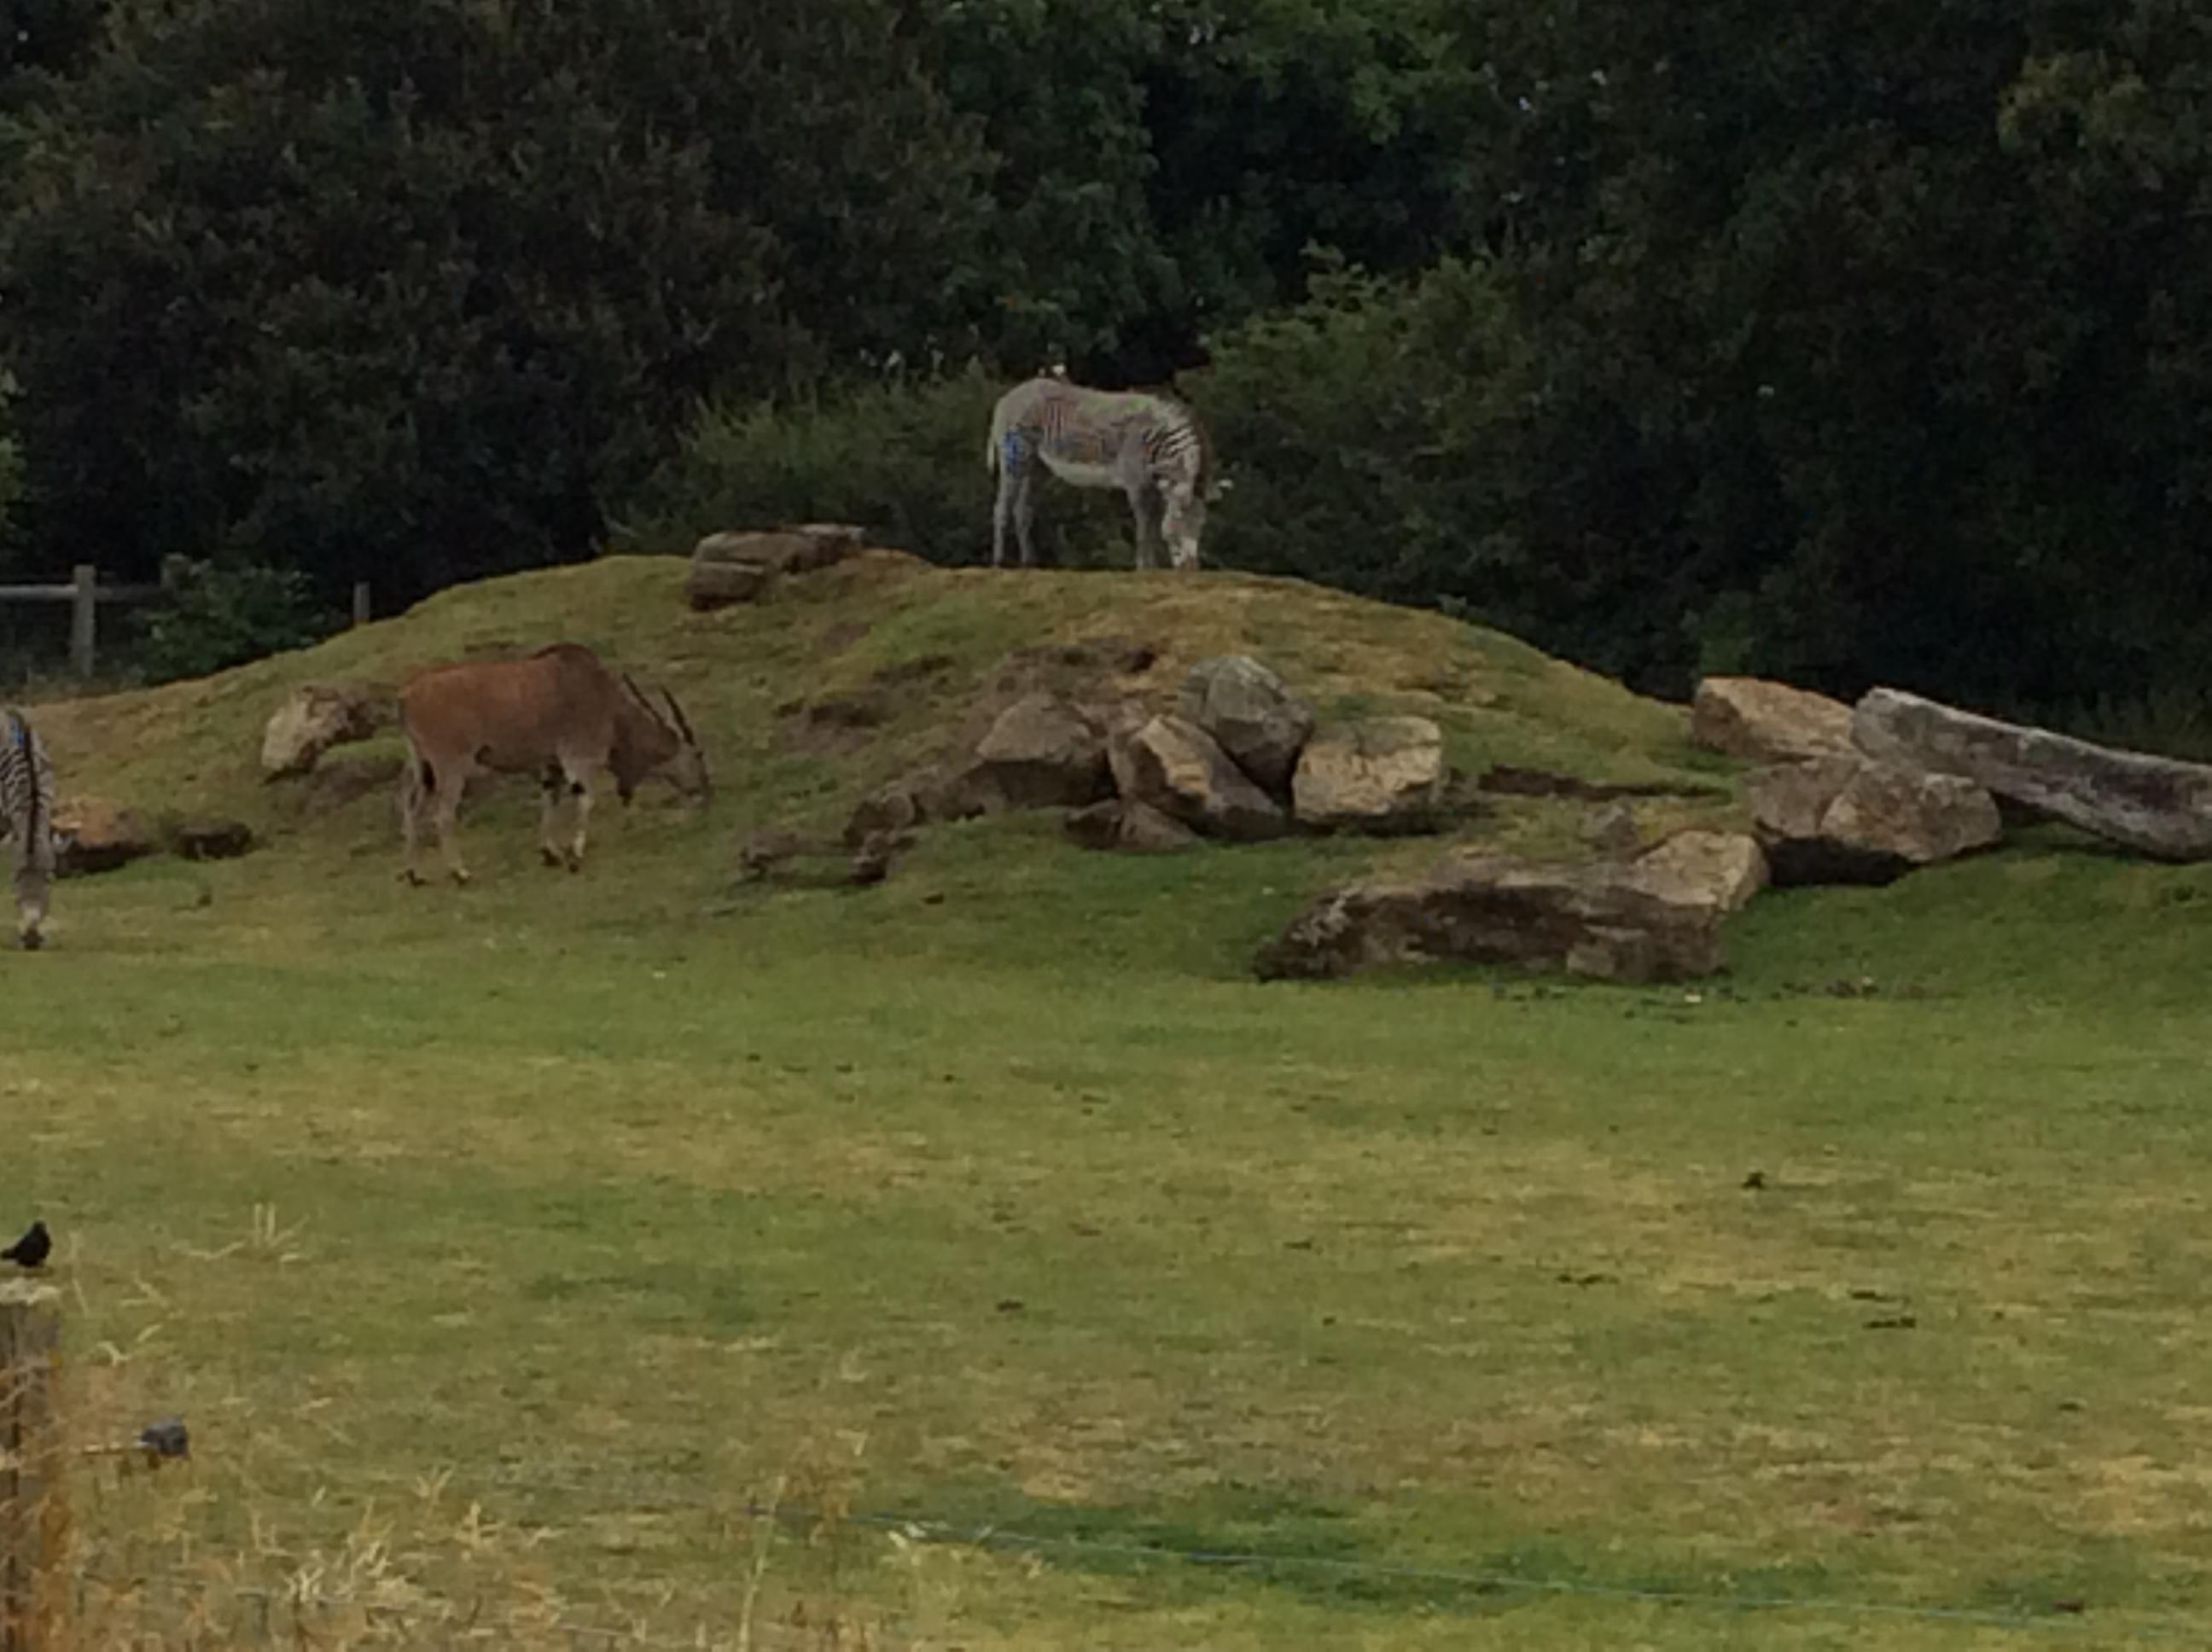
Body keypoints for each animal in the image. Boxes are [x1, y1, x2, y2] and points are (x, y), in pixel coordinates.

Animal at [396, 644, 709, 885]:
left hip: (423, 767)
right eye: (699, 755)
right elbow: (585, 798)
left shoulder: (552, 765)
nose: (706, 791)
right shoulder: (579, 756)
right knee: (443, 815)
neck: (605, 699)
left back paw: (414, 874)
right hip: (451, 766)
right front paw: (575, 856)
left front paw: (550, 853)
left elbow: (550, 798)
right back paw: (460, 872)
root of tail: (407, 695)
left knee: (412, 807)